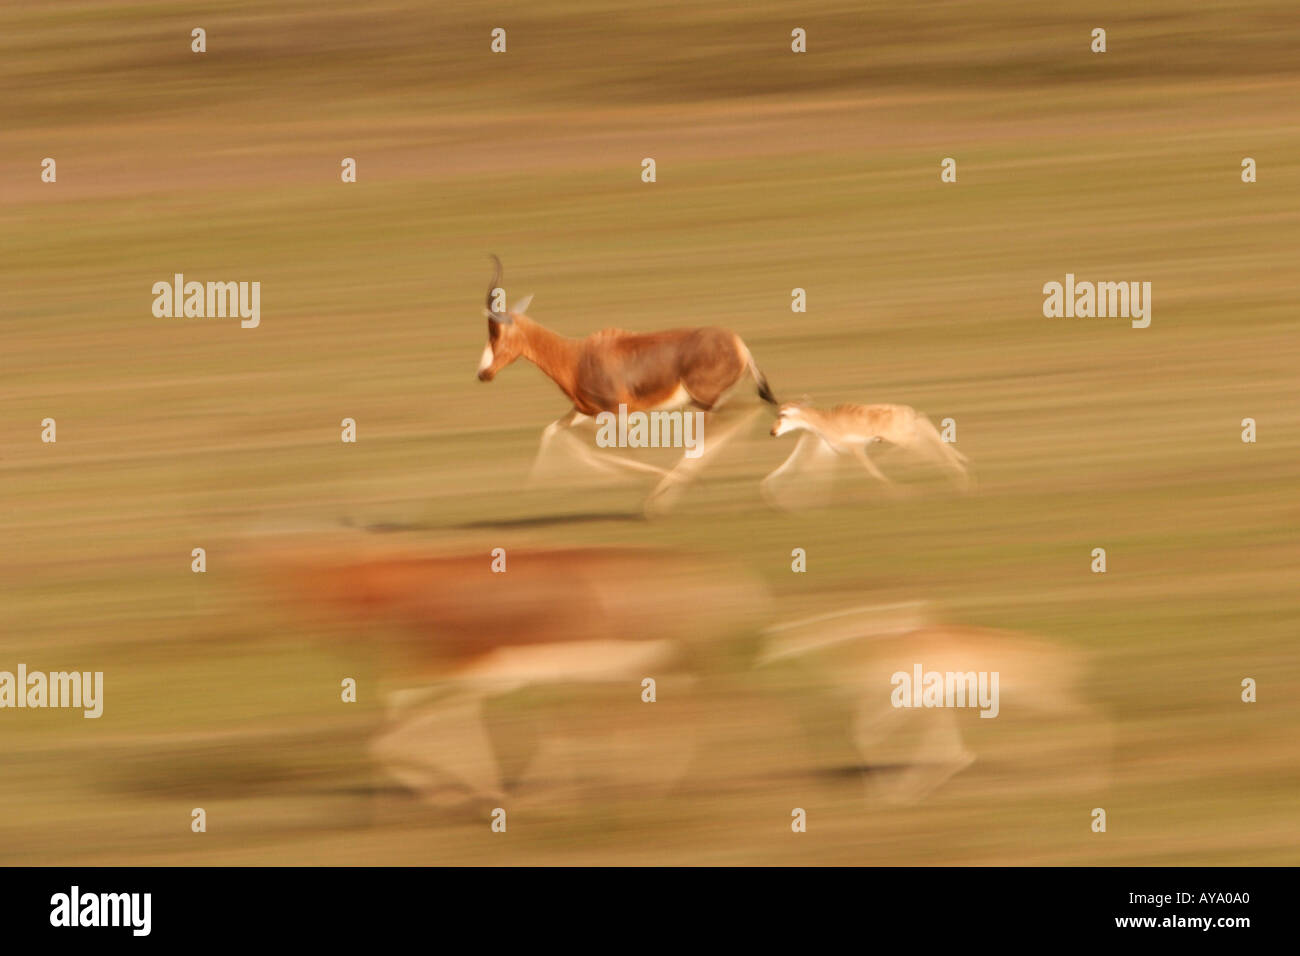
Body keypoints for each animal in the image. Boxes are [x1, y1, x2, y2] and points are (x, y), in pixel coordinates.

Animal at [478, 252, 780, 509]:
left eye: (496, 332)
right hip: (709, 404)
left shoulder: (619, 414)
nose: (483, 374)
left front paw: (652, 502)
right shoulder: (583, 412)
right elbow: (553, 434)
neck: (577, 355)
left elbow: (626, 453)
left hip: (704, 403)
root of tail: (740, 345)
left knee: (736, 420)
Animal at [759, 398, 967, 504]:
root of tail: (906, 410)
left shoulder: (857, 449)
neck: (825, 420)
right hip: (907, 432)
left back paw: (960, 474)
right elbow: (794, 466)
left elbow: (874, 472)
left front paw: (898, 491)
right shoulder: (828, 451)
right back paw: (961, 464)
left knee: (923, 438)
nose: (772, 431)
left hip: (903, 437)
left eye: (783, 414)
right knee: (924, 425)